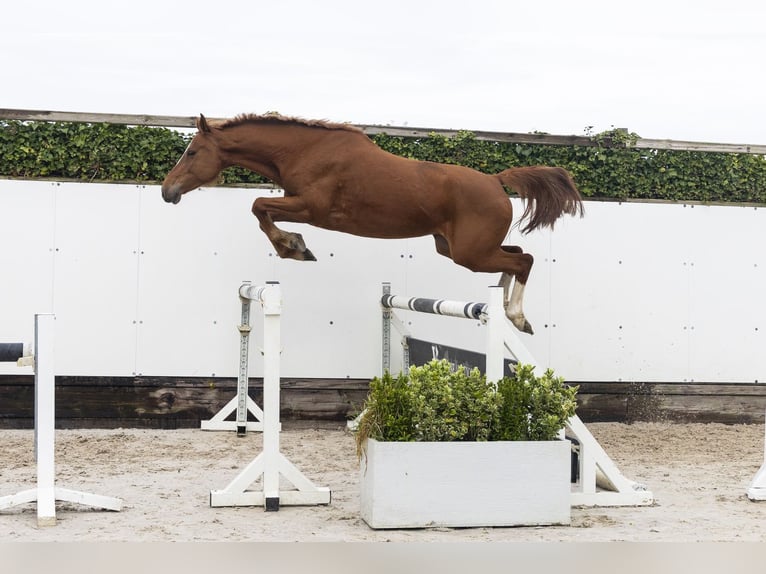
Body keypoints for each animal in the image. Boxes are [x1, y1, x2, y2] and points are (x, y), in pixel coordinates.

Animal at [161, 114, 583, 334]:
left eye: (193, 152)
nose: (168, 191)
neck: (304, 151)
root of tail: (496, 181)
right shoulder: (301, 206)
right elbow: (260, 208)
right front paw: (294, 246)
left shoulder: (311, 209)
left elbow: (258, 205)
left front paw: (293, 247)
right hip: (457, 249)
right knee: (515, 254)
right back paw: (503, 305)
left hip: (470, 252)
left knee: (524, 260)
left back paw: (517, 317)